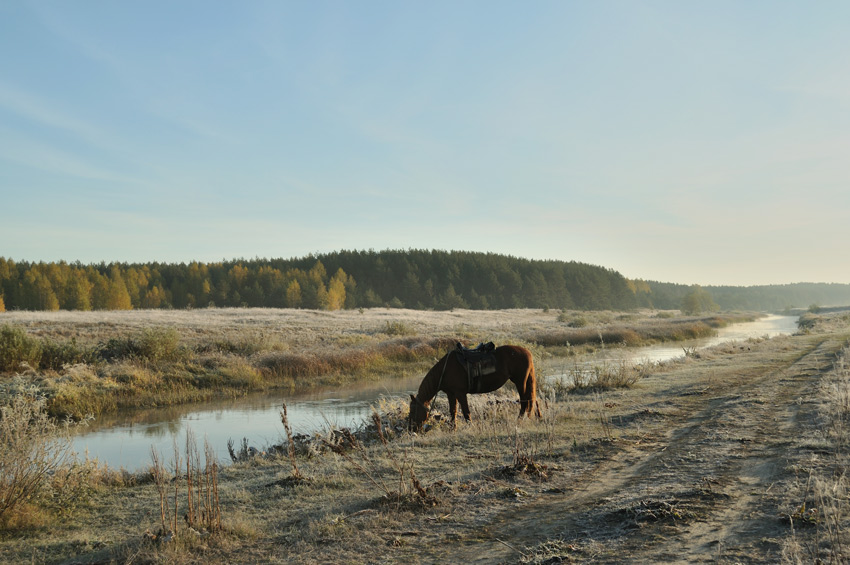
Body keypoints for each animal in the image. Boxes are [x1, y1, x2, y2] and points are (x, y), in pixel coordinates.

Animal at [408, 344, 540, 432]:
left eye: (413, 411)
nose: (411, 429)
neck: (444, 371)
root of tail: (527, 351)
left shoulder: (460, 393)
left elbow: (466, 412)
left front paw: (470, 426)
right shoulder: (451, 393)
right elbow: (453, 411)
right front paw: (452, 428)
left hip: (520, 382)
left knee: (525, 401)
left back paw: (519, 420)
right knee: (531, 400)